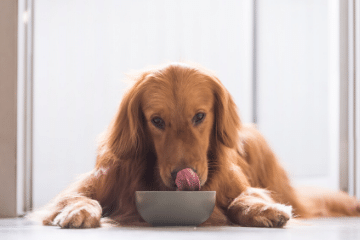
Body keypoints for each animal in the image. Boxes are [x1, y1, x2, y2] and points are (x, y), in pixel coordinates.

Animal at [31, 62, 360, 229]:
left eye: (200, 116)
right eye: (157, 121)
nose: (183, 176)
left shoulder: (237, 185)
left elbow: (243, 198)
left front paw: (262, 208)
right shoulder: (94, 183)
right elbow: (77, 198)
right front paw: (79, 211)